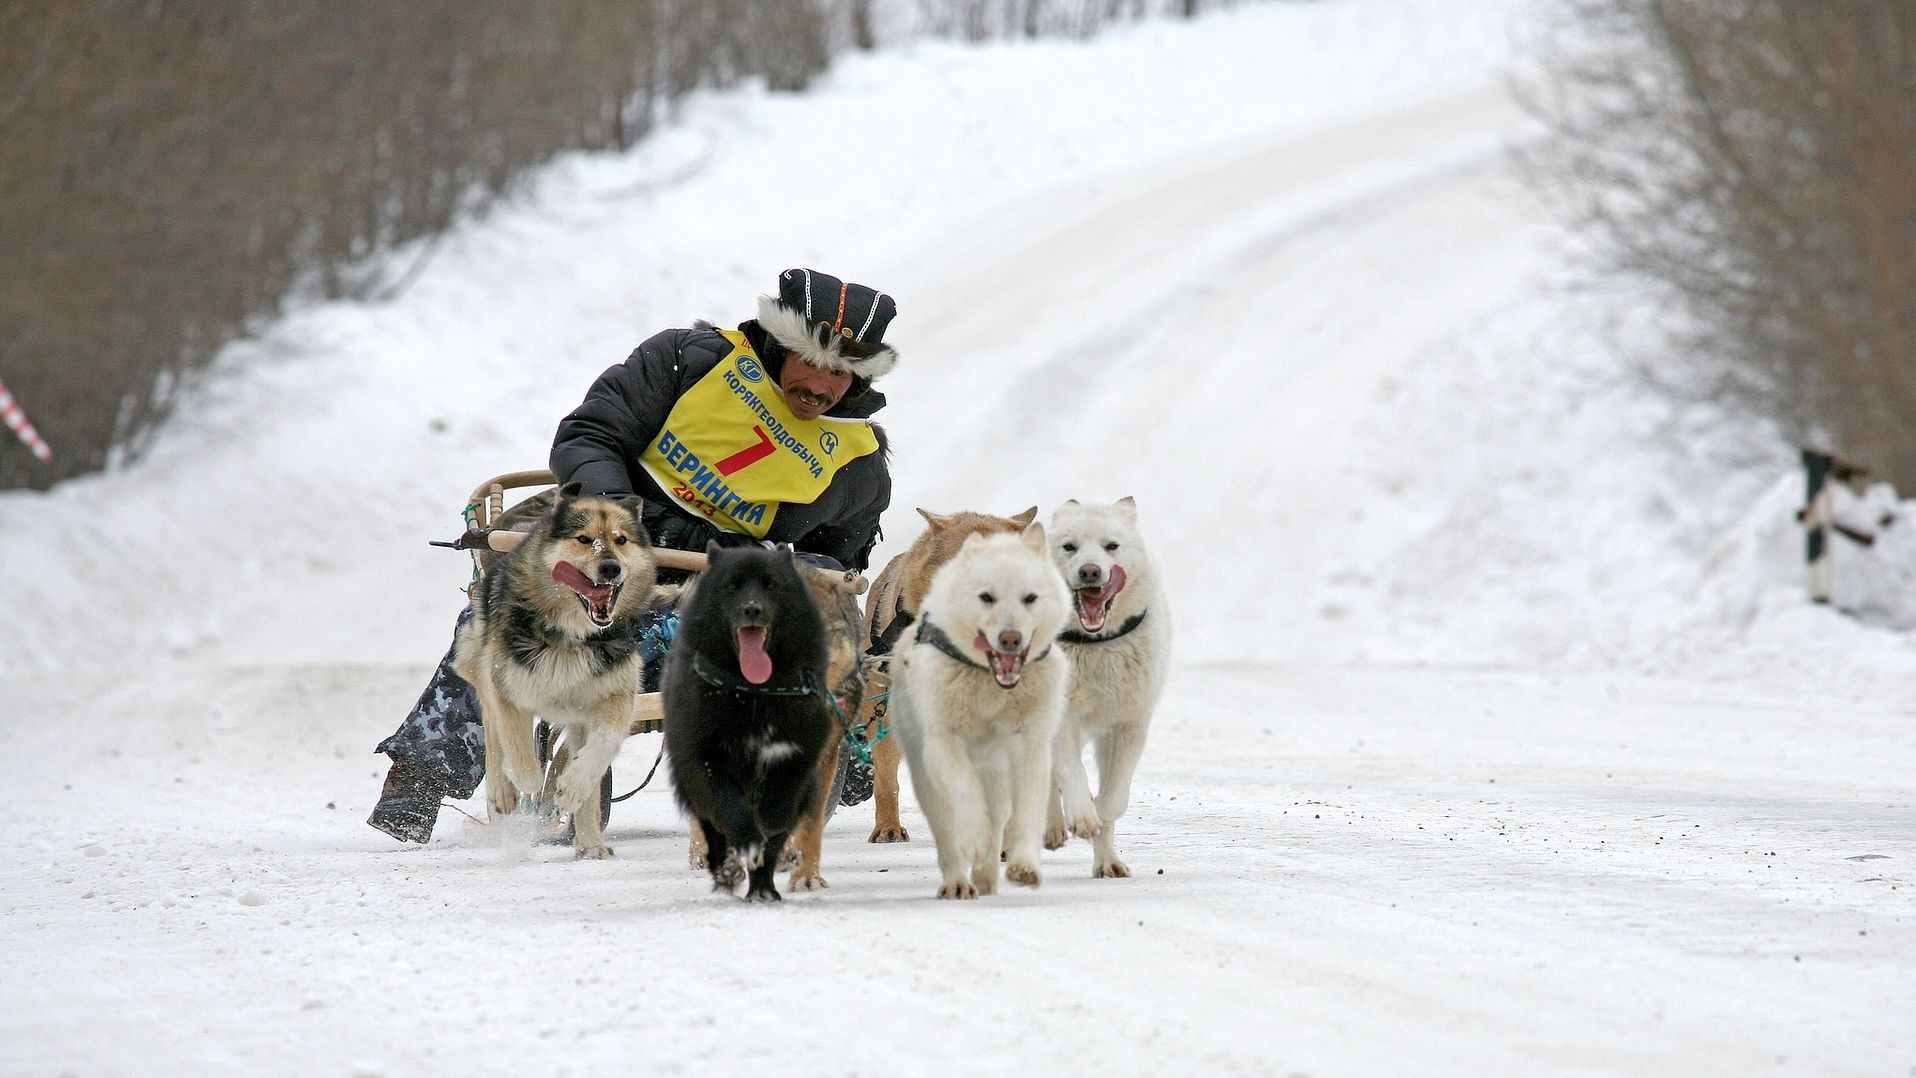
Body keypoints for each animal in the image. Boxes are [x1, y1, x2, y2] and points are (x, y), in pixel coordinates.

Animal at [452, 484, 662, 857]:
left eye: (621, 539)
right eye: (583, 539)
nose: (611, 568)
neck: (572, 635)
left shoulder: (616, 696)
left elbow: (601, 748)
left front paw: (572, 787)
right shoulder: (506, 687)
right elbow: (516, 746)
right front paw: (528, 786)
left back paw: (590, 841)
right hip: (481, 665)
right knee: (493, 734)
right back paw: (505, 793)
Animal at [666, 539, 831, 903]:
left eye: (771, 584)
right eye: (732, 585)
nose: (752, 609)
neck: (754, 693)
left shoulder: (798, 753)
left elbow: (779, 810)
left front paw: (768, 831)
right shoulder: (705, 759)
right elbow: (730, 810)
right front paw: (747, 841)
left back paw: (763, 890)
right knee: (716, 836)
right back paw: (729, 871)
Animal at [889, 528, 1072, 899]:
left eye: (1030, 598)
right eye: (986, 597)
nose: (1011, 638)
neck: (990, 686)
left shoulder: (1030, 745)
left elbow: (1029, 810)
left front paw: (1024, 865)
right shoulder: (944, 743)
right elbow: (965, 792)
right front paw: (973, 838)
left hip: (997, 776)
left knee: (1000, 816)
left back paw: (986, 877)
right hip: (927, 777)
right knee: (947, 831)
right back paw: (958, 881)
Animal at [1042, 497, 1172, 876]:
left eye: (1111, 546)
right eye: (1069, 547)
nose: (1090, 572)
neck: (1097, 645)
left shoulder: (1130, 725)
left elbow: (1115, 799)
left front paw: (1103, 838)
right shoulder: (1062, 718)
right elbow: (1071, 773)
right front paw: (1083, 817)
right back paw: (1051, 828)